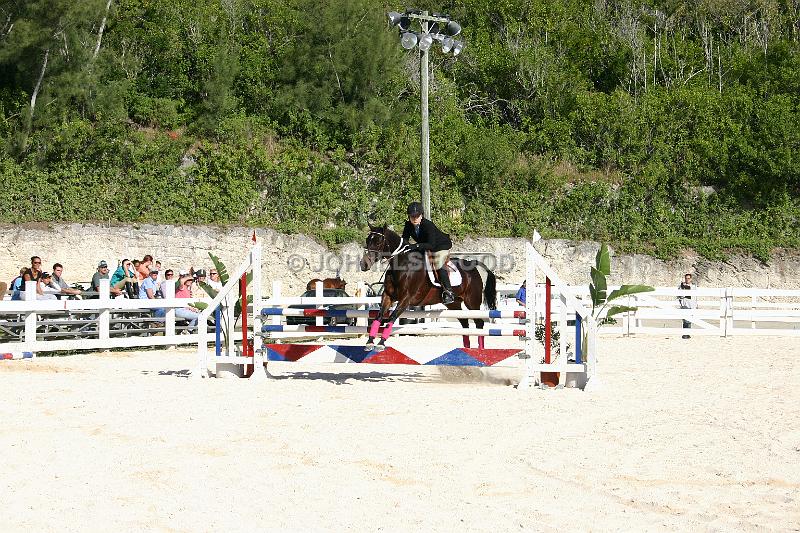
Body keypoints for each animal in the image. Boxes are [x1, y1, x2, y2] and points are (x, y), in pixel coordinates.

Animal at [360, 223, 496, 352]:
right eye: (367, 240)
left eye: (378, 242)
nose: (363, 264)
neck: (402, 266)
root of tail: (477, 267)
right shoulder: (388, 296)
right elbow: (378, 317)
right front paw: (370, 342)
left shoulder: (406, 299)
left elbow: (391, 318)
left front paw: (381, 344)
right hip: (454, 304)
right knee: (465, 324)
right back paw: (467, 349)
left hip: (472, 302)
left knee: (479, 323)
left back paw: (480, 350)